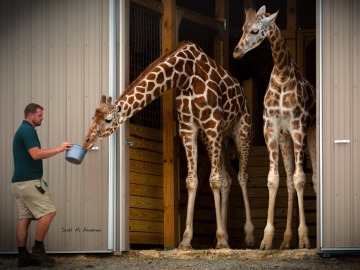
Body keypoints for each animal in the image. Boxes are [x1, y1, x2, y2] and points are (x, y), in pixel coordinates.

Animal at [83, 41, 255, 250]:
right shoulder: (189, 128)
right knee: (227, 179)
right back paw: (223, 238)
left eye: (108, 119)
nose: (86, 141)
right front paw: (187, 240)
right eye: (93, 117)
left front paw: (222, 238)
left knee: (242, 176)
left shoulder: (211, 124)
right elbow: (192, 181)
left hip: (241, 130)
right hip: (217, 138)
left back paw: (249, 237)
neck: (185, 75)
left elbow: (213, 180)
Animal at [232, 6, 316, 250]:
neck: (281, 73)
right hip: (285, 140)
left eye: (255, 30)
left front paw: (304, 240)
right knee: (288, 181)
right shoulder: (271, 129)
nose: (236, 52)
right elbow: (274, 180)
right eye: (243, 27)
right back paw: (286, 241)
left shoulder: (297, 128)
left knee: (312, 178)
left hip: (309, 135)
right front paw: (266, 239)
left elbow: (301, 179)